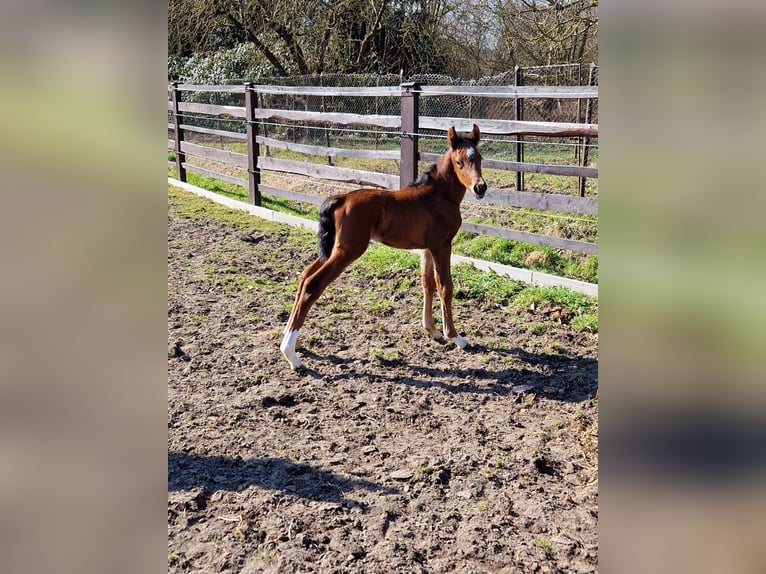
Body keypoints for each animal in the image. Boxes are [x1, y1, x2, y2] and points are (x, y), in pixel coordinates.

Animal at [280, 124, 487, 370]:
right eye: (459, 162)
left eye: (480, 158)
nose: (480, 187)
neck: (437, 197)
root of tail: (342, 198)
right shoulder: (442, 246)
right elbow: (445, 287)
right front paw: (455, 337)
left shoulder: (427, 248)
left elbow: (427, 283)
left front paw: (433, 331)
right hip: (348, 250)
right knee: (313, 283)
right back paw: (291, 354)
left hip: (332, 249)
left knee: (303, 277)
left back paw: (294, 341)